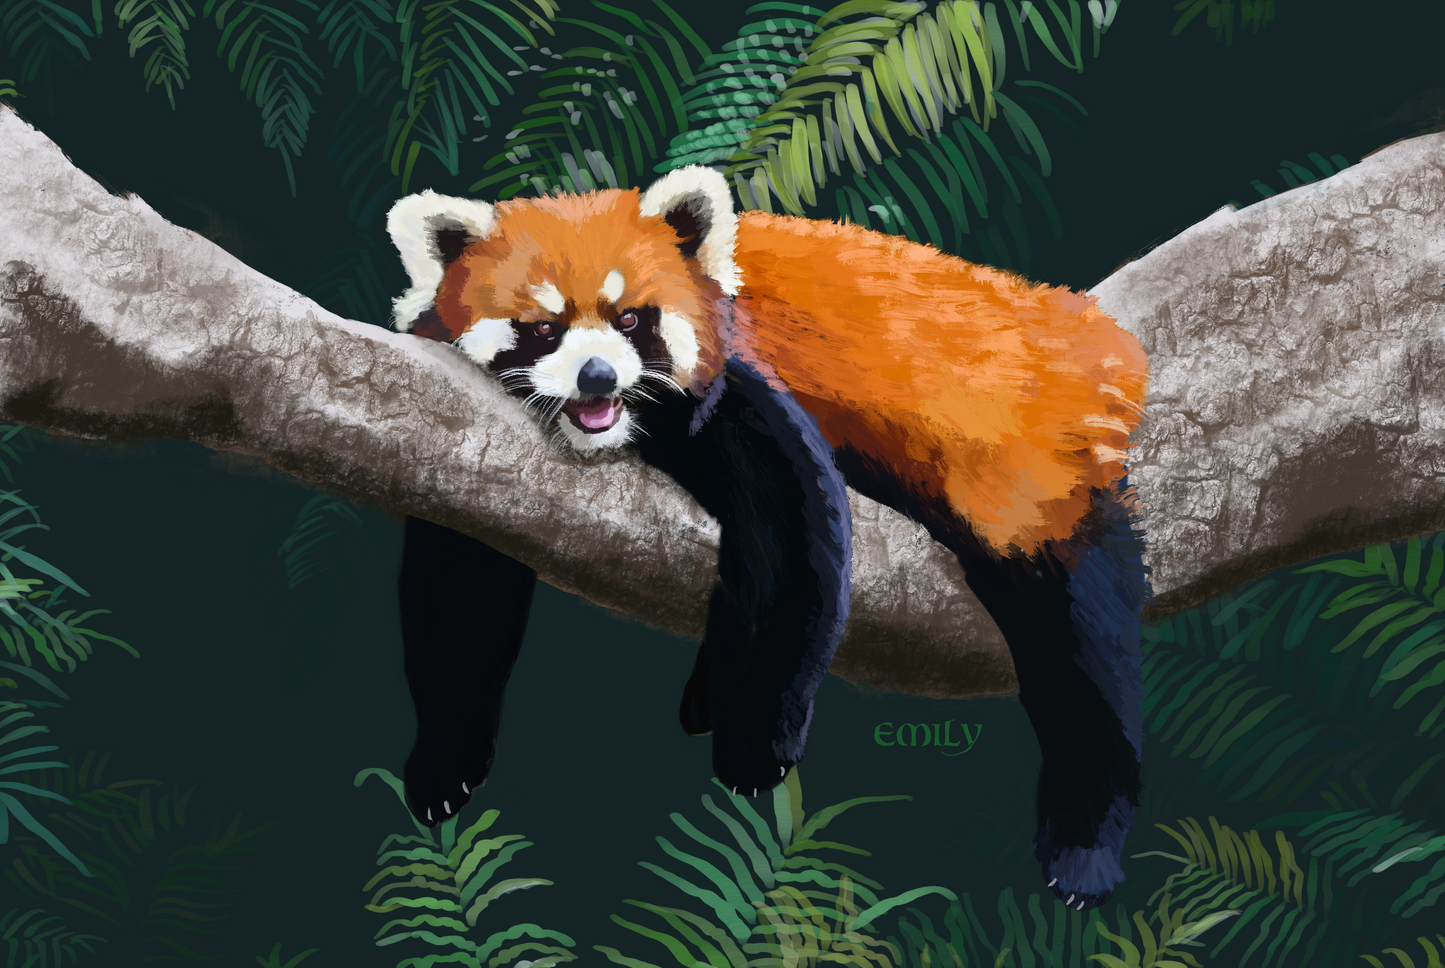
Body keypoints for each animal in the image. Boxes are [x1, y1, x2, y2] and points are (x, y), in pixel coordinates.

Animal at [386, 165, 1151, 909]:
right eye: (543, 329)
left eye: (631, 319)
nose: (597, 376)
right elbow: (460, 591)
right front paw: (443, 763)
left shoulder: (735, 391)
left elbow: (794, 546)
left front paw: (756, 747)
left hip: (1024, 477)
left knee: (1080, 646)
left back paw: (1085, 844)